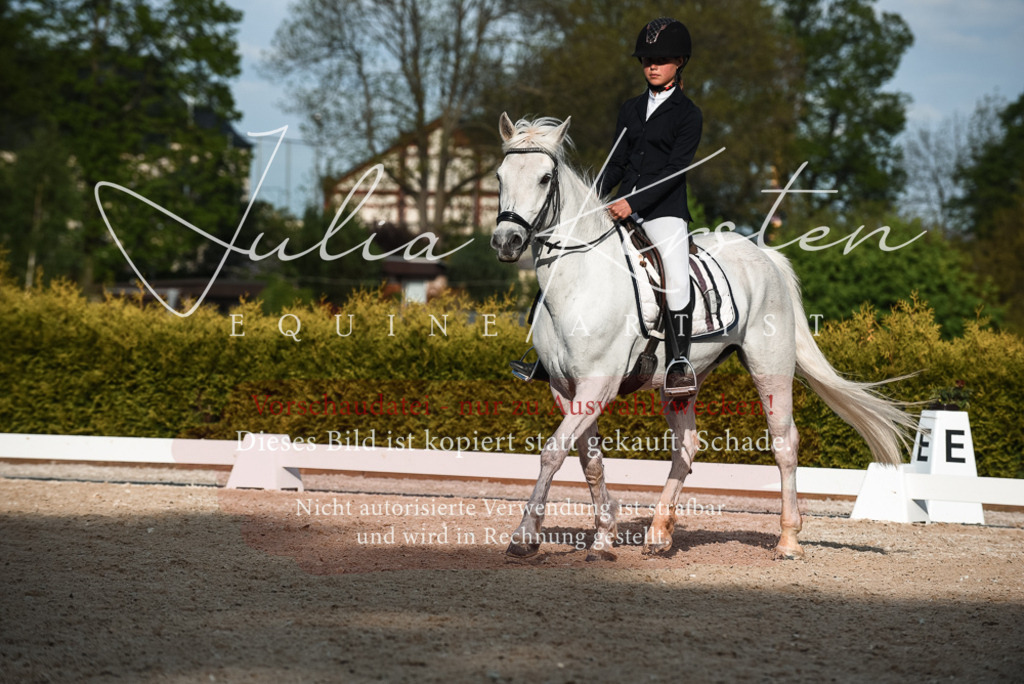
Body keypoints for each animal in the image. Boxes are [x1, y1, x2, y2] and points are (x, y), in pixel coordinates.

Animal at [490, 113, 916, 561]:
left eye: (544, 178)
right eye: (500, 176)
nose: (506, 242)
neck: (580, 280)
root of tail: (765, 255)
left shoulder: (597, 385)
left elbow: (553, 452)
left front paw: (525, 537)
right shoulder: (565, 387)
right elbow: (589, 461)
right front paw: (603, 537)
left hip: (770, 368)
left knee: (785, 442)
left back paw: (788, 540)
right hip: (680, 382)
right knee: (687, 445)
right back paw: (659, 533)